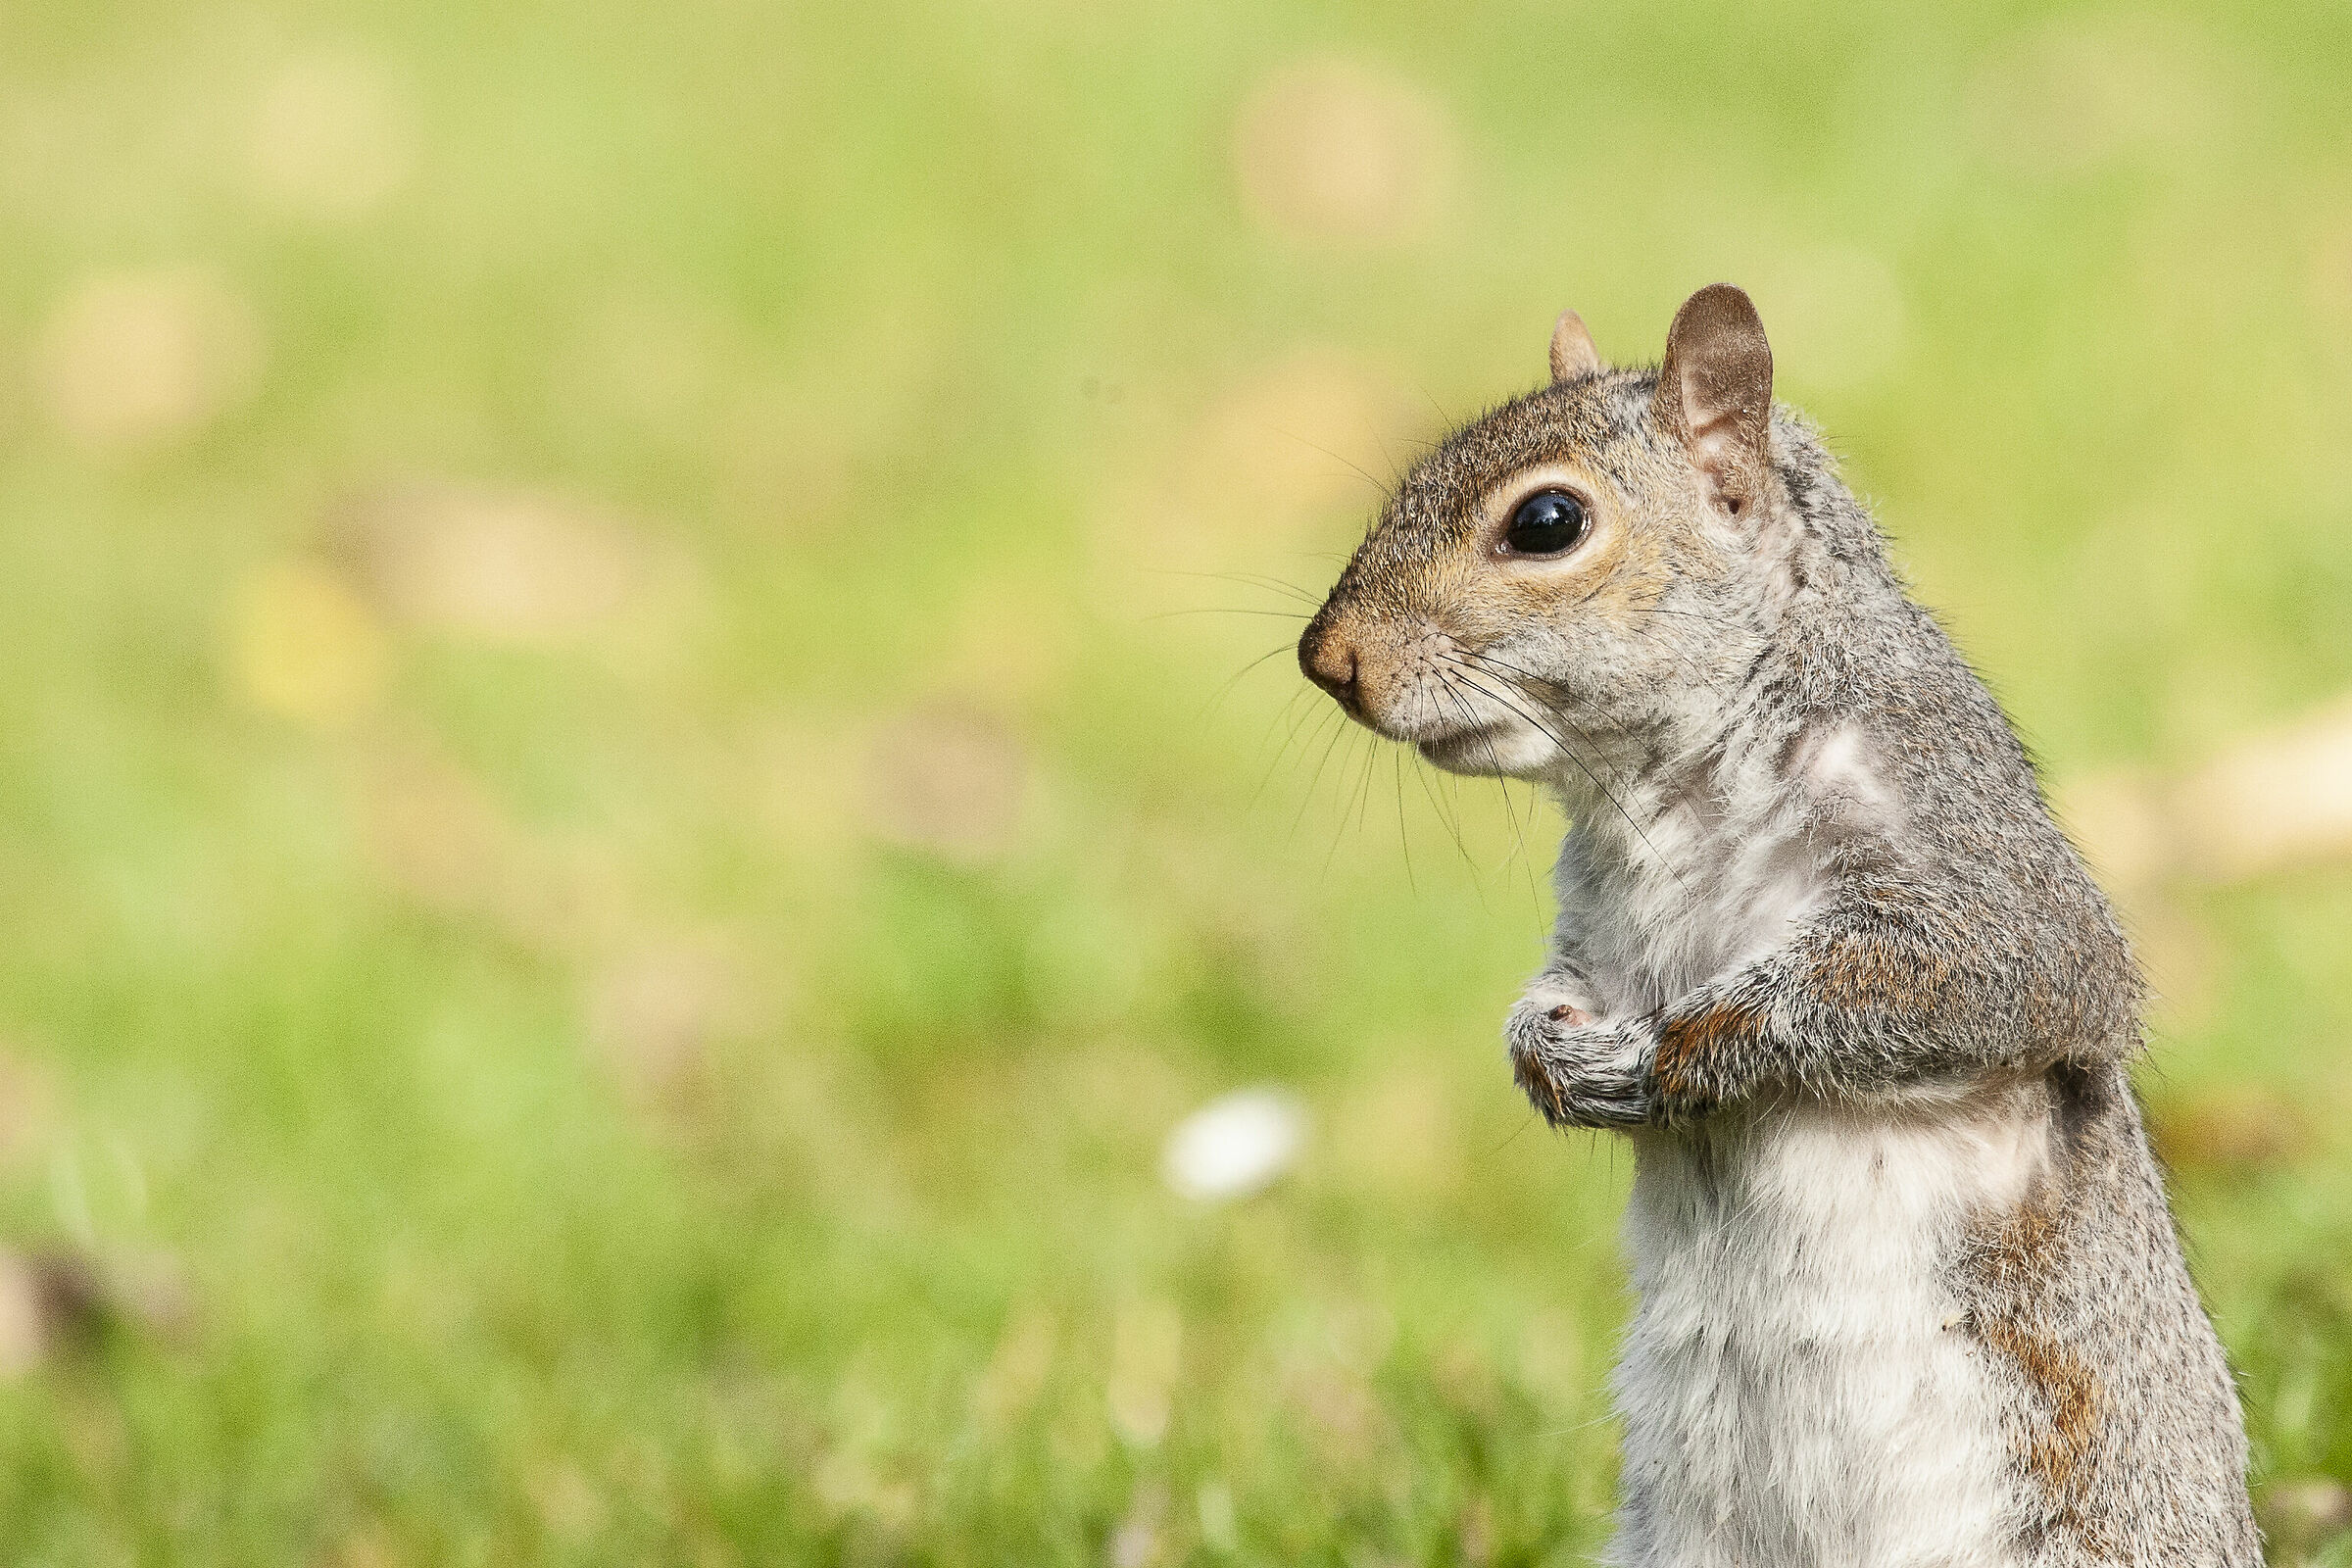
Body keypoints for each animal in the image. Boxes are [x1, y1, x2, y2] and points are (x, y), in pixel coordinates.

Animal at [1296, 285, 2258, 1566]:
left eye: (1547, 522)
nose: (1327, 658)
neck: (1665, 788)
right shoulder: (1591, 921)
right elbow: (1551, 995)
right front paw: (1554, 1059)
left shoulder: (1978, 860)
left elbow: (1998, 977)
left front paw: (1699, 1047)